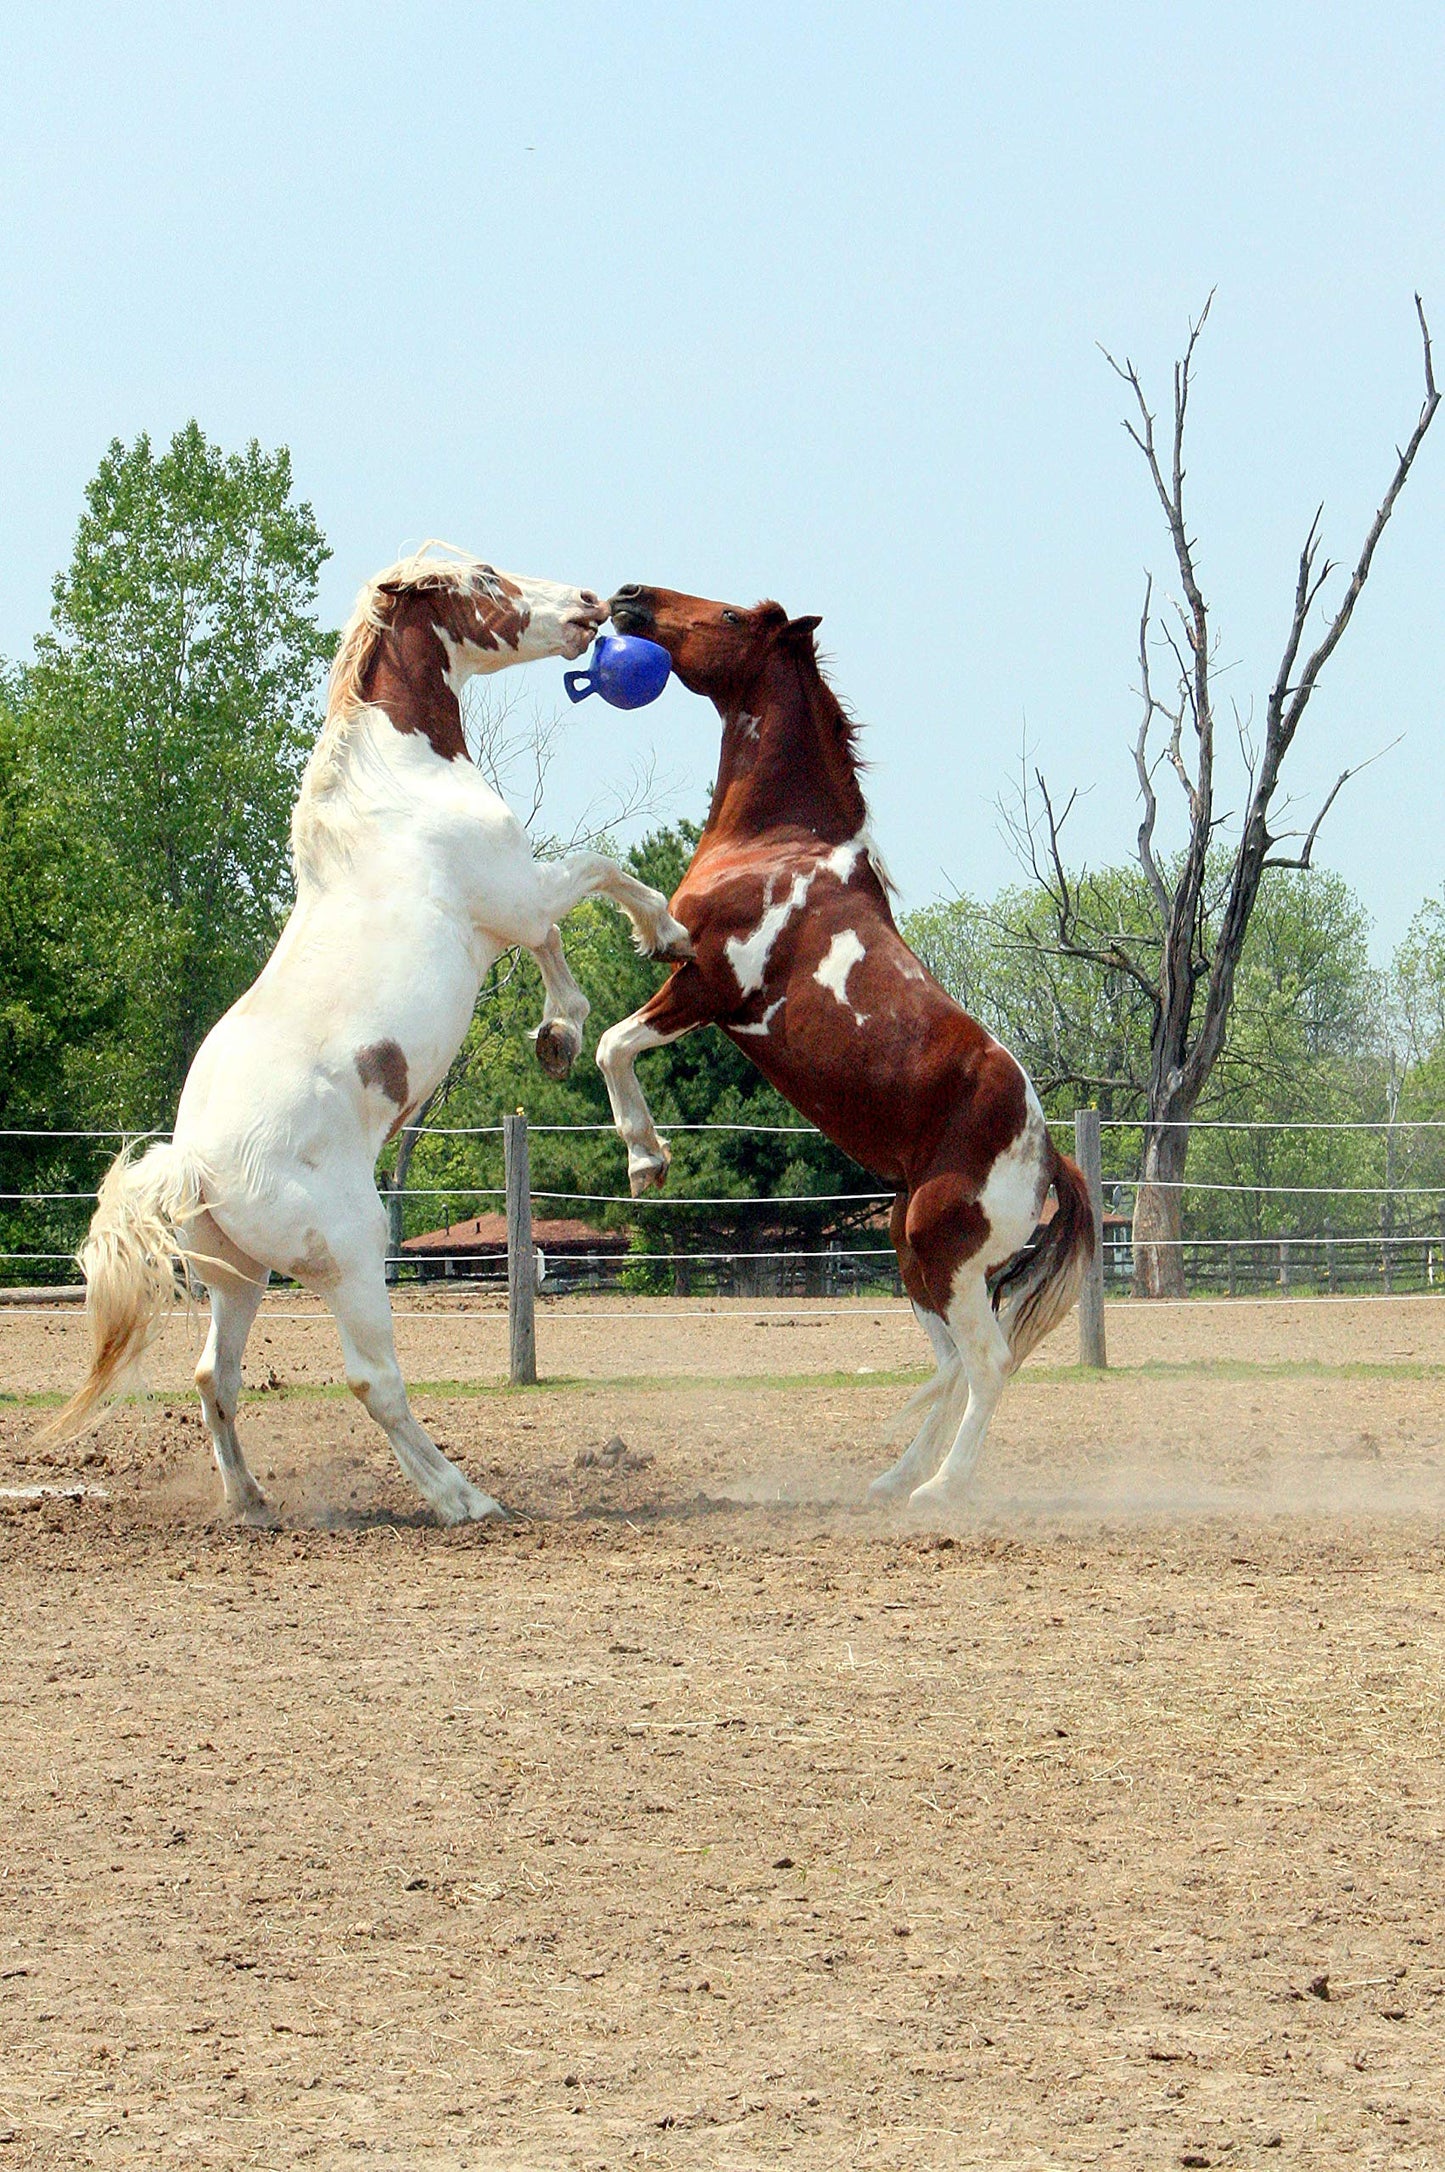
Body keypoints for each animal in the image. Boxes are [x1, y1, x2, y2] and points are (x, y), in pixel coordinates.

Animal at [48, 548, 691, 1525]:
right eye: (486, 576)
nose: (591, 604)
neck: (399, 783)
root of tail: (192, 1164)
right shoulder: (517, 894)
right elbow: (600, 873)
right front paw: (664, 938)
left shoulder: (511, 912)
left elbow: (557, 948)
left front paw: (557, 1036)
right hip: (353, 1260)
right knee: (371, 1381)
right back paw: (464, 1499)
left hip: (236, 1279)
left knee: (213, 1377)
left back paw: (253, 1504)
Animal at [596, 584, 1094, 1512]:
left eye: (727, 616)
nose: (630, 597)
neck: (778, 843)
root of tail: (1048, 1156)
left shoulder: (708, 988)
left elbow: (613, 1044)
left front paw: (647, 1160)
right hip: (914, 1253)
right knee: (952, 1365)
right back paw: (893, 1479)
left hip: (942, 1253)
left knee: (987, 1363)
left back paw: (940, 1490)